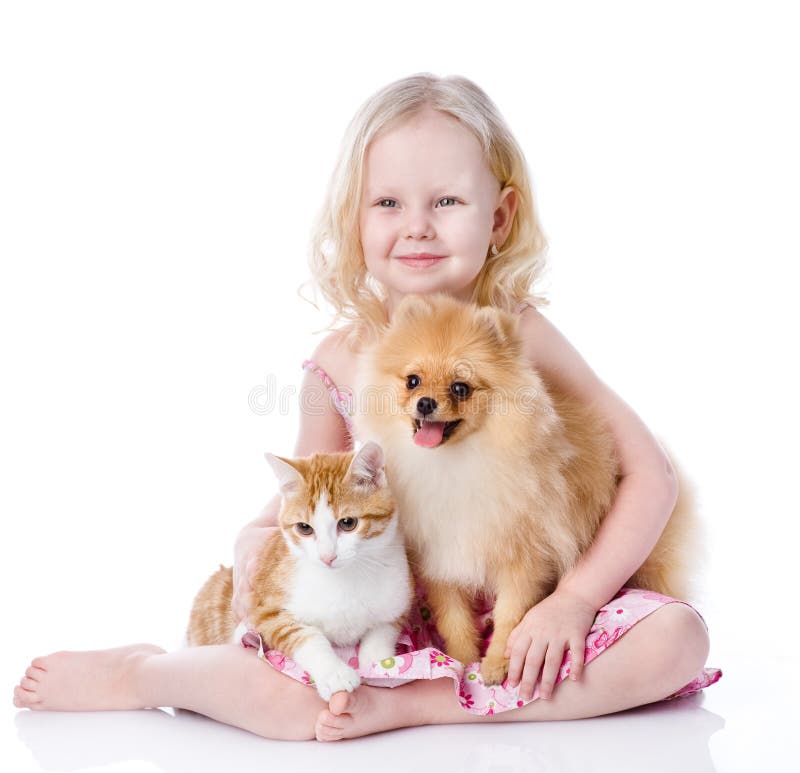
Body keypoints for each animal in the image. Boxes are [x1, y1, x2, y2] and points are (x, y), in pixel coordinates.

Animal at [188, 440, 412, 700]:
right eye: (304, 528)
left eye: (348, 523)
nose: (327, 556)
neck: (345, 576)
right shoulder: (264, 610)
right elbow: (305, 637)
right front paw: (335, 674)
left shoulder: (398, 602)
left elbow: (381, 632)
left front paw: (377, 665)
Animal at [354, 292, 696, 684]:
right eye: (413, 380)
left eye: (460, 387)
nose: (425, 403)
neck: (454, 462)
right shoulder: (439, 553)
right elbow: (454, 618)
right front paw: (461, 661)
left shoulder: (525, 553)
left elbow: (510, 613)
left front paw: (496, 665)